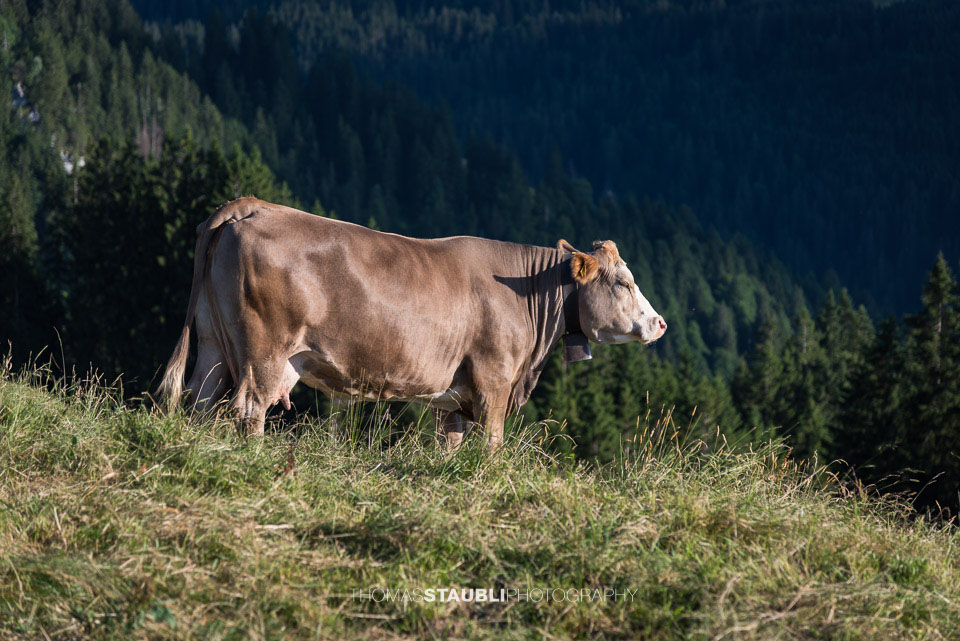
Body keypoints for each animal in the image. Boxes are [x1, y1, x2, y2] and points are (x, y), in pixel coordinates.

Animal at [159, 197, 666, 450]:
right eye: (624, 282)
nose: (660, 323)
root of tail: (249, 205)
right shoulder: (494, 379)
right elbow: (492, 444)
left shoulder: (454, 397)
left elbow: (451, 446)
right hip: (265, 350)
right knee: (249, 408)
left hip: (212, 340)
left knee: (201, 399)